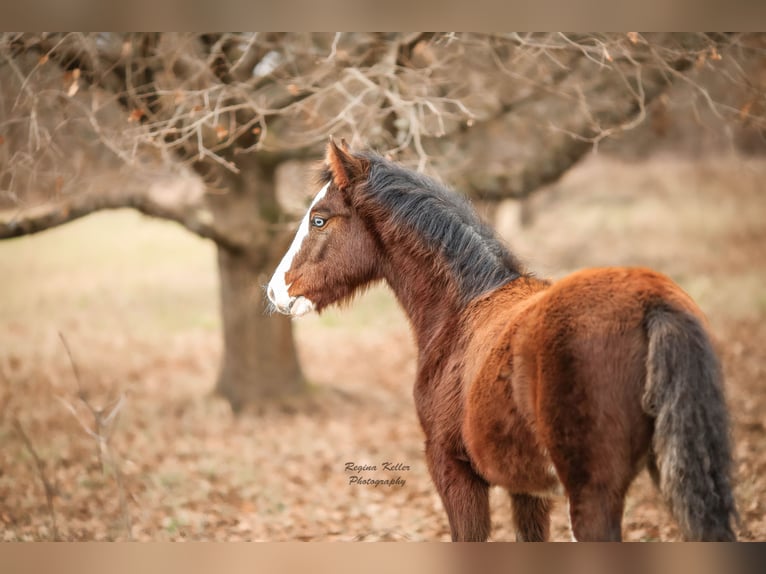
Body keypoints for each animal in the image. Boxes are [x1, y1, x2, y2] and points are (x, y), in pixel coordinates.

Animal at [266, 140, 738, 541]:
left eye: (319, 219)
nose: (274, 292)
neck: (465, 308)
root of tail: (653, 305)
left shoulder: (455, 472)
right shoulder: (527, 489)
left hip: (592, 493)